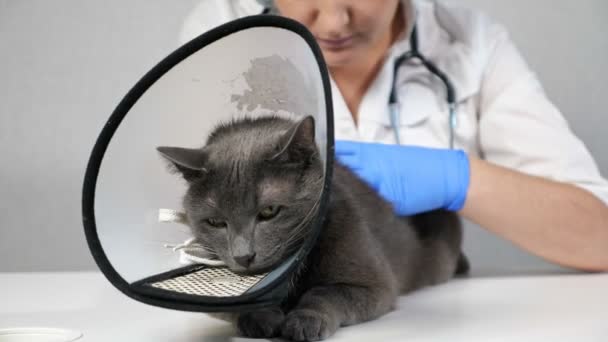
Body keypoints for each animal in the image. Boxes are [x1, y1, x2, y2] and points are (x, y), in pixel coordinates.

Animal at [156, 115, 466, 342]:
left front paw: (304, 321)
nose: (243, 256)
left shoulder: (375, 284)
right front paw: (263, 318)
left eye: (269, 211)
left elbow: (325, 293)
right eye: (216, 222)